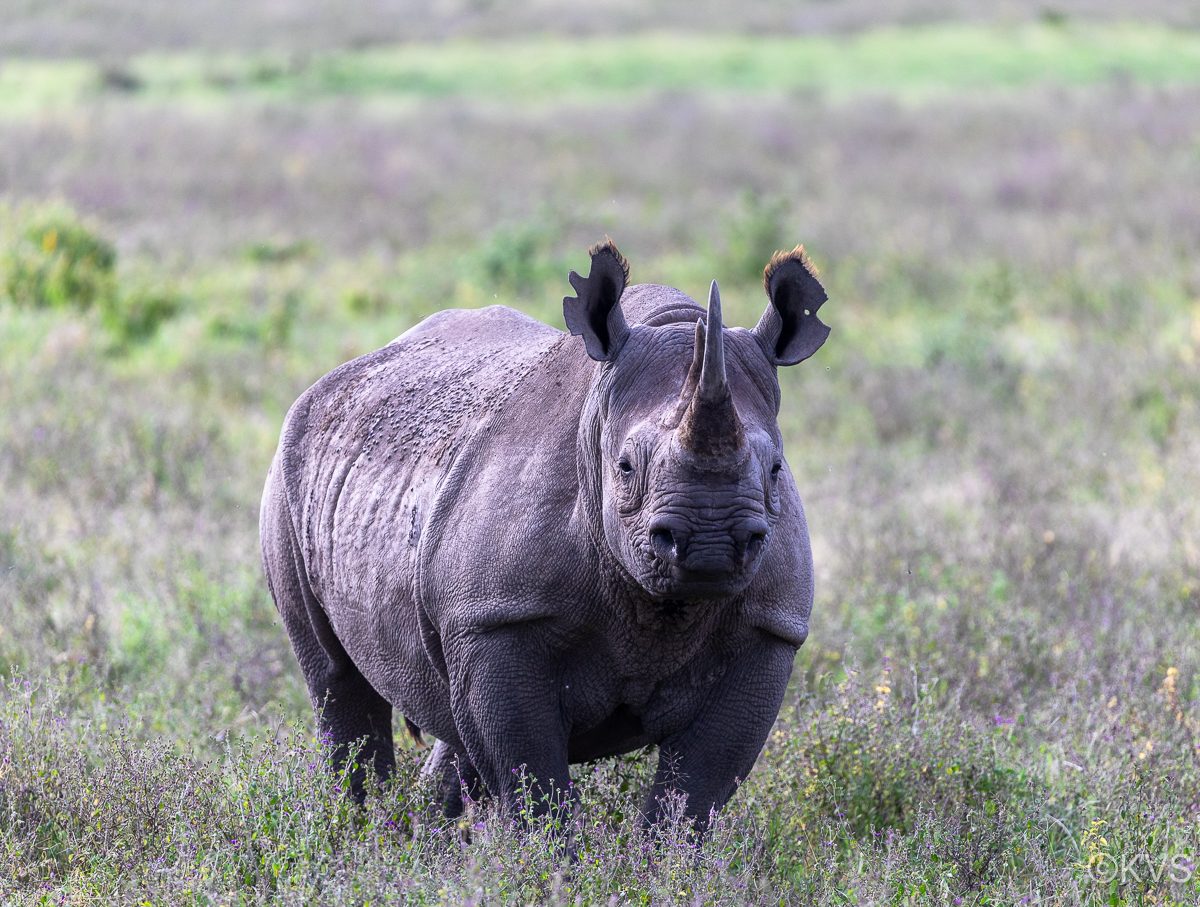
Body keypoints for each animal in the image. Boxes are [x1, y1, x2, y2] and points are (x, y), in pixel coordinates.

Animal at [259, 240, 830, 826]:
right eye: (625, 467)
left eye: (776, 471)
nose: (711, 545)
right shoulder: (496, 618)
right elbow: (534, 786)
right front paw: (550, 853)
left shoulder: (769, 628)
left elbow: (695, 793)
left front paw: (665, 851)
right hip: (288, 467)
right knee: (336, 683)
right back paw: (359, 831)